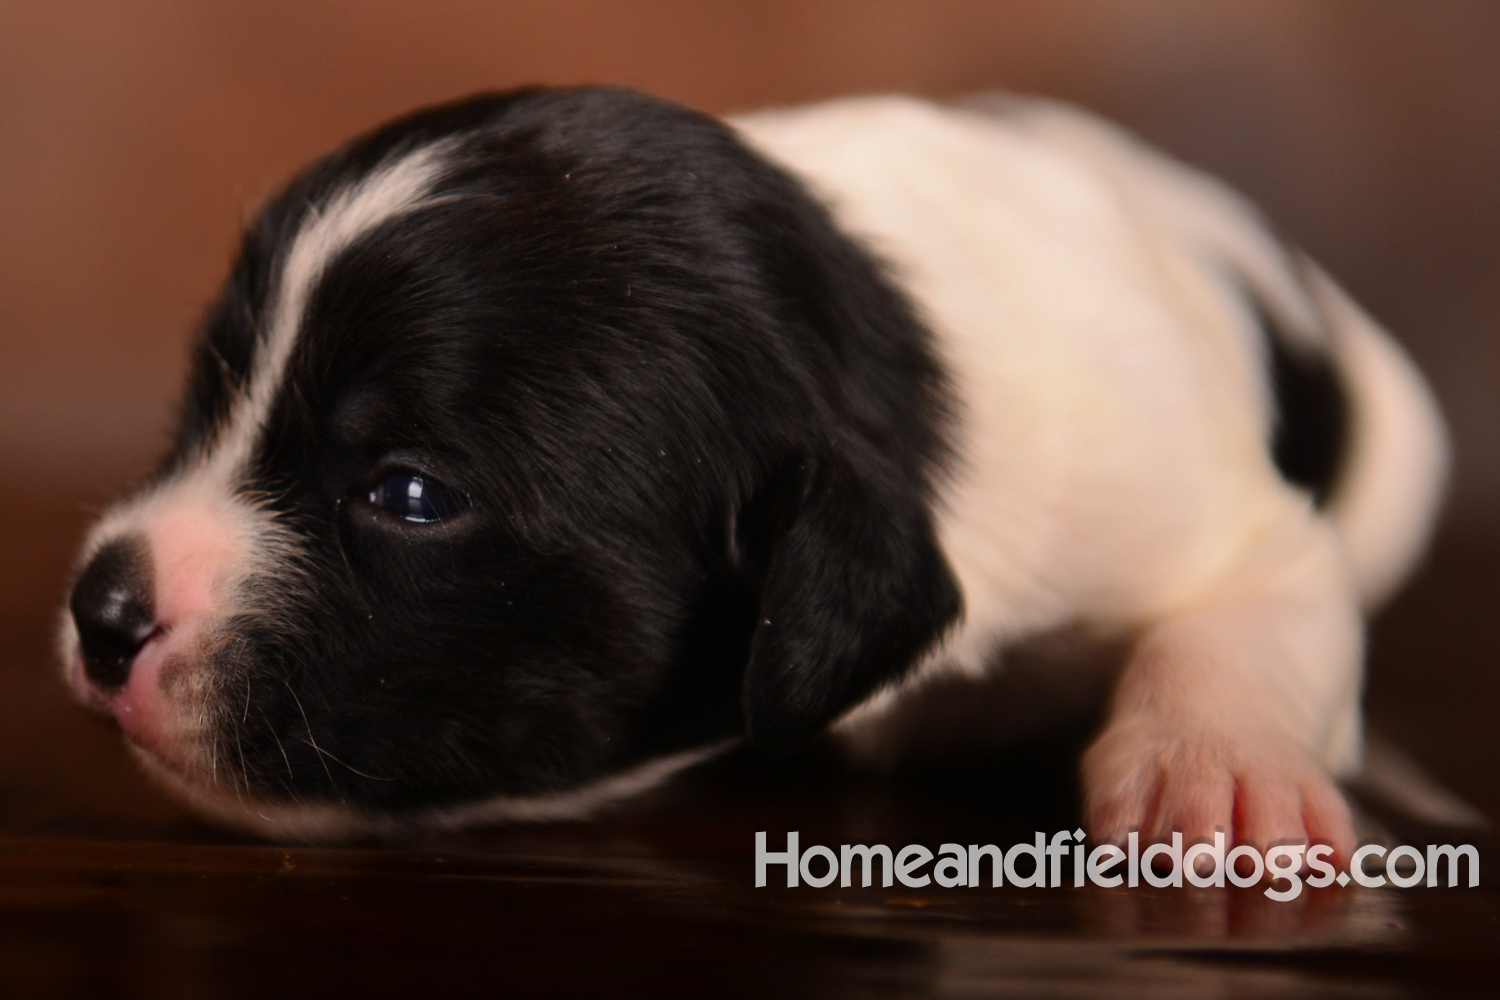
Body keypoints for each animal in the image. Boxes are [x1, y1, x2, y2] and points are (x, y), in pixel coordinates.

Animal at [58, 88, 1440, 851]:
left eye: (409, 494)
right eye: (207, 396)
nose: (99, 609)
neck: (874, 351)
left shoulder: (1194, 498)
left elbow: (1251, 609)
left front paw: (1224, 777)